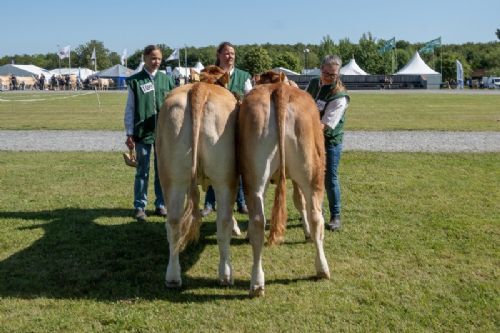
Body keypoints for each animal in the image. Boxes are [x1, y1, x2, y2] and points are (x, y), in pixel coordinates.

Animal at [156, 68, 240, 288]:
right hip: (225, 178)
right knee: (223, 222)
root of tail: (199, 88)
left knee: (174, 222)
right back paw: (225, 274)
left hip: (171, 177)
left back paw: (173, 277)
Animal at [239, 80, 330, 296]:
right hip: (313, 172)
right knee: (316, 216)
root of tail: (279, 89)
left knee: (258, 220)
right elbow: (299, 202)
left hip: (255, 175)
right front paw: (306, 232)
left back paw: (257, 283)